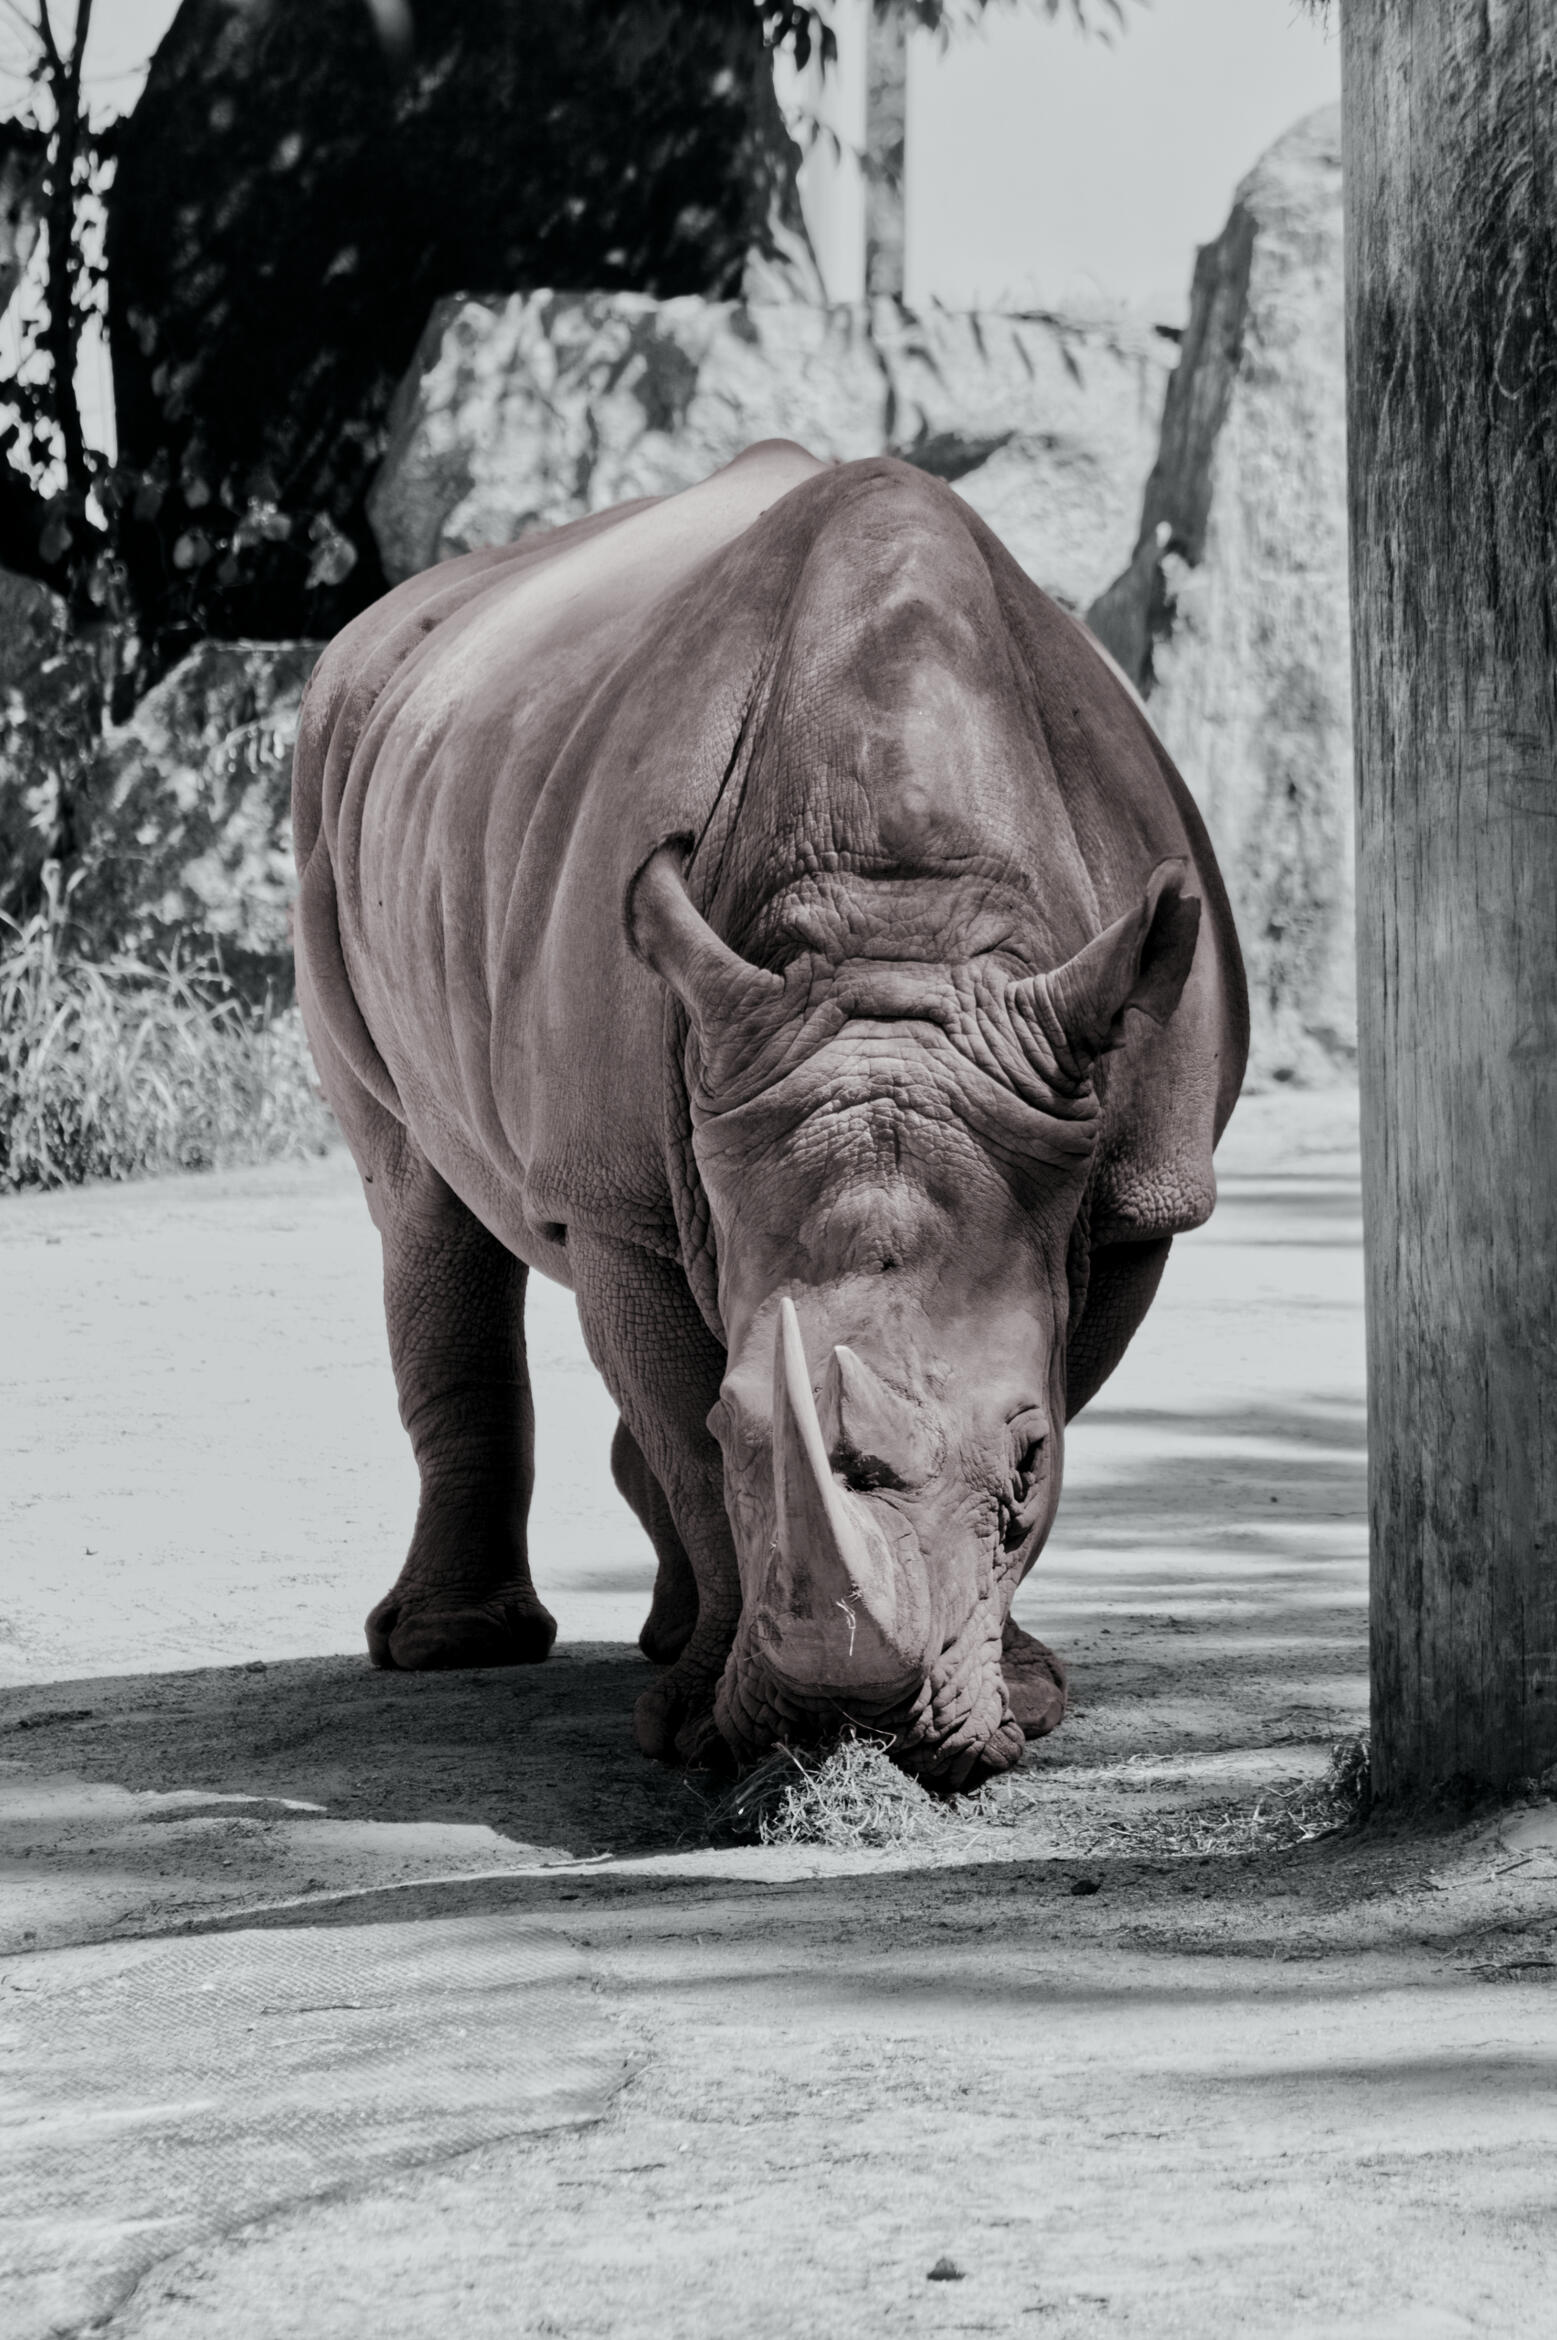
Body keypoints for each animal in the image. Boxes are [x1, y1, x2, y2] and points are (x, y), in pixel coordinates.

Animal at [293, 442, 1247, 1787]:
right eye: (739, 1421)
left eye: (1026, 1458)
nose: (858, 1728)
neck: (900, 924)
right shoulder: (617, 1194)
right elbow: (685, 1433)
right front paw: (696, 1730)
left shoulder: (1129, 1189)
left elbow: (1068, 1382)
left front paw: (1028, 1695)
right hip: (330, 759)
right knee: (416, 1195)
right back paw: (455, 1650)